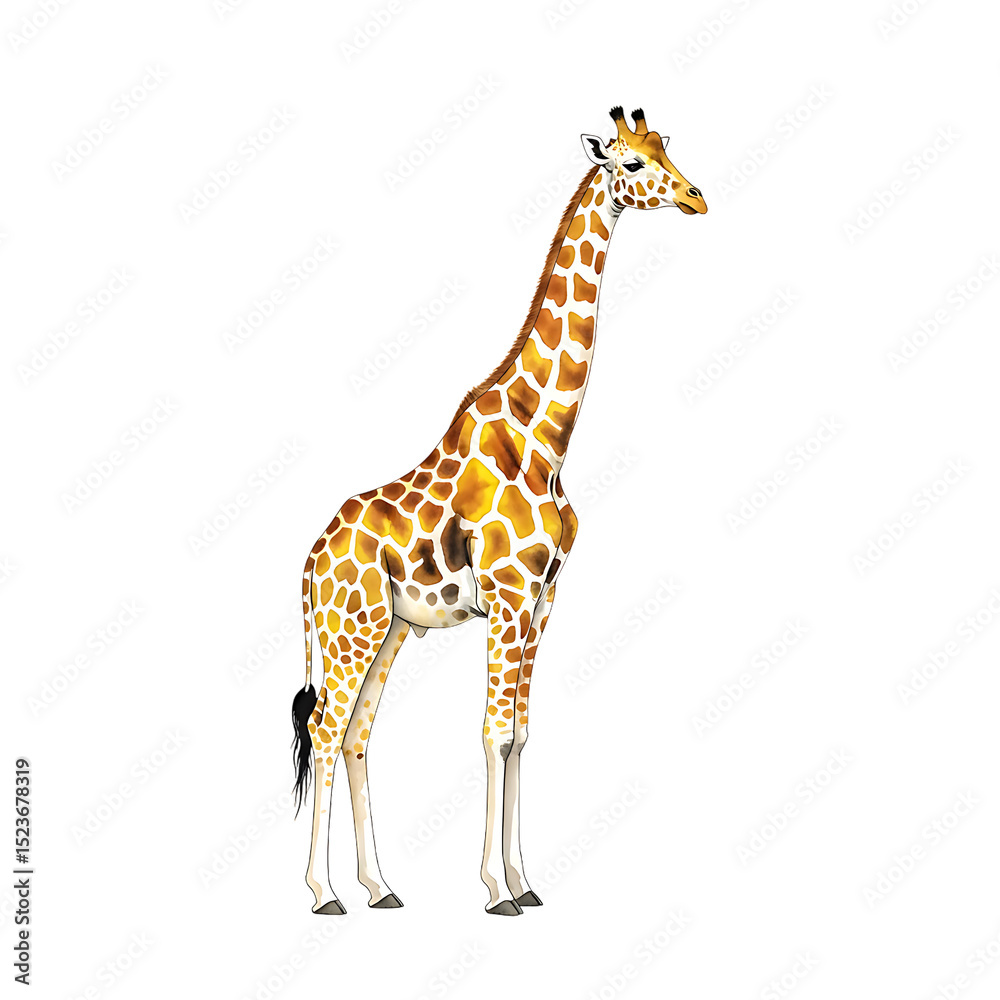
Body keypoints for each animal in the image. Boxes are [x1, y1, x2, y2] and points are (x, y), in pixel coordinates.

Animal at [291, 106, 707, 915]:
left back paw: (379, 886)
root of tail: (310, 563)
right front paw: (495, 890)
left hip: (389, 630)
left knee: (356, 735)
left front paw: (524, 880)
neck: (544, 440)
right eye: (632, 165)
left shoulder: (543, 601)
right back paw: (324, 893)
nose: (697, 197)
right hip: (349, 629)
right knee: (325, 732)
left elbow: (520, 734)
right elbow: (493, 734)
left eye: (668, 149)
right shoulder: (510, 599)